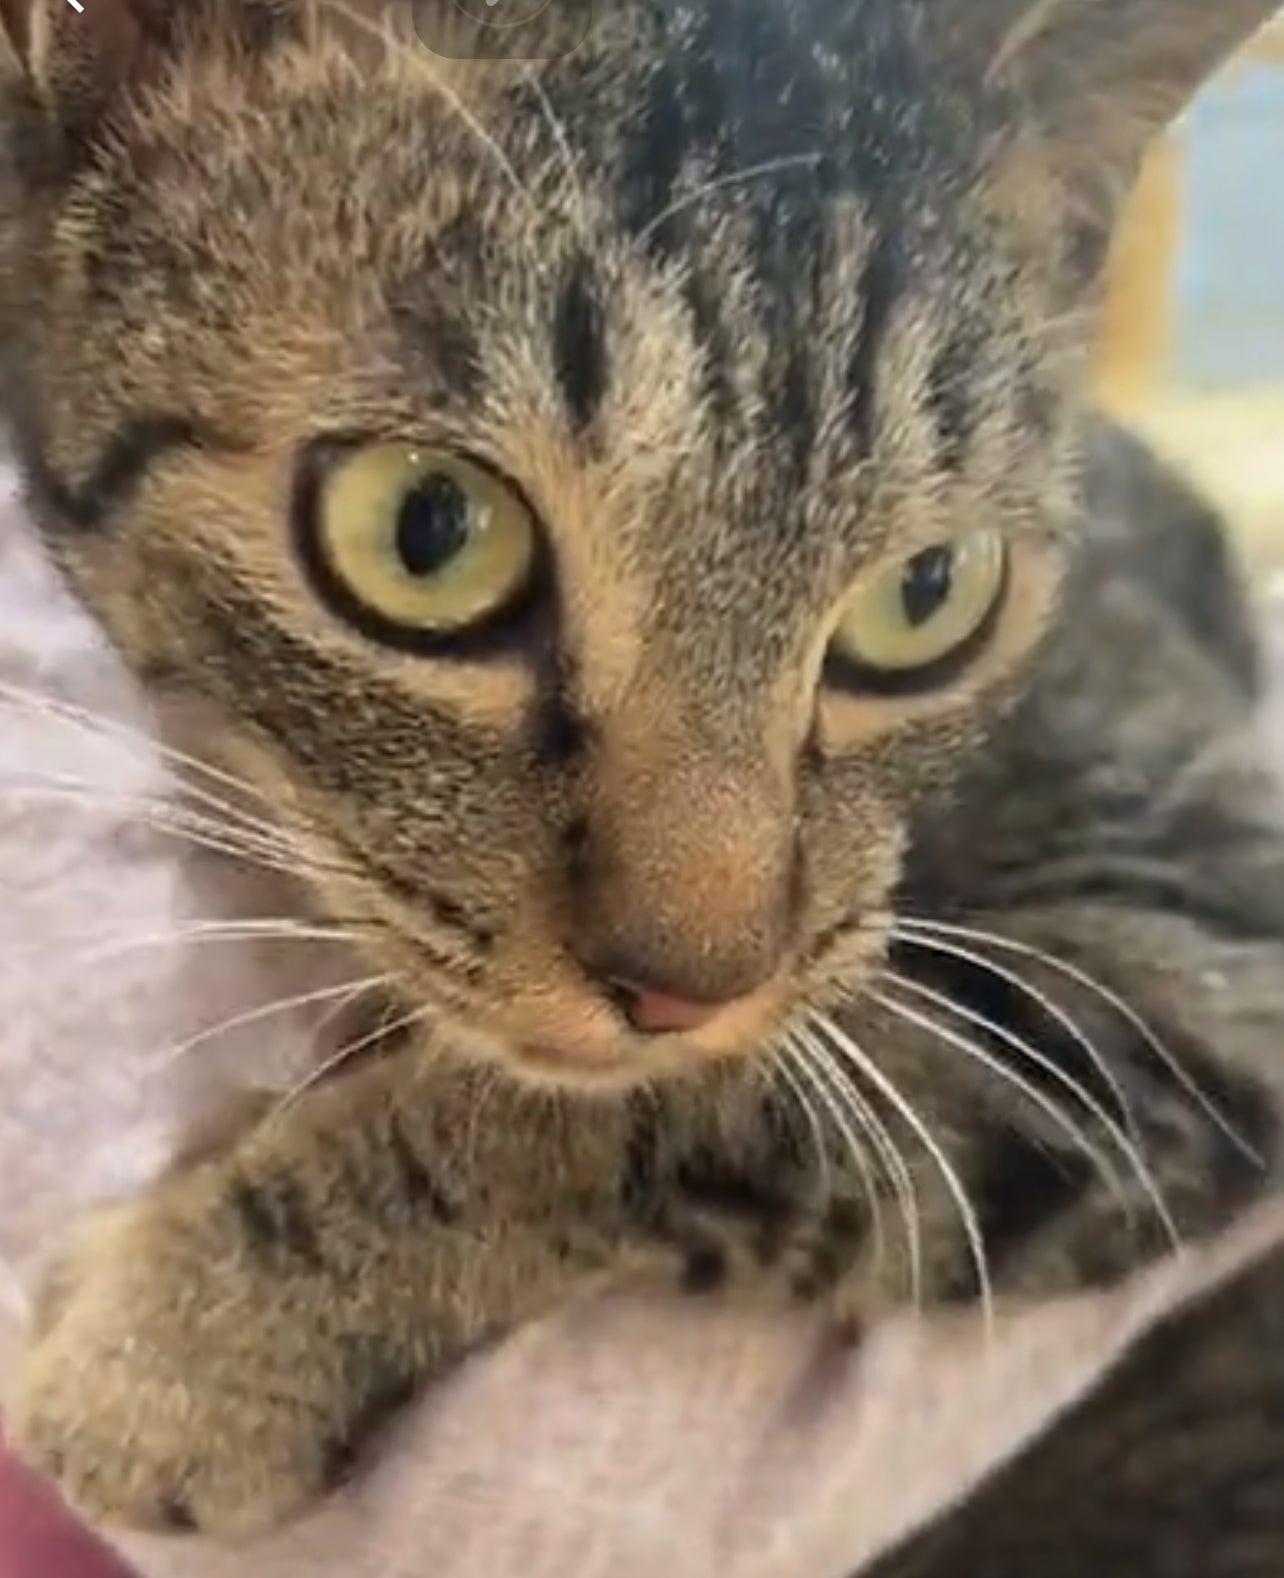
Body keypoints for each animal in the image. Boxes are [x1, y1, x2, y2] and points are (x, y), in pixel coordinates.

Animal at [3, 0, 1284, 1568]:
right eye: (427, 530)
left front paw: (190, 1349)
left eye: (928, 592)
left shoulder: (1202, 932)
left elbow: (684, 1103)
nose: (689, 987)